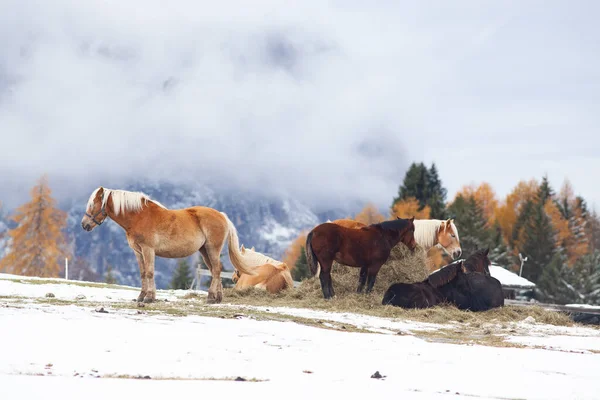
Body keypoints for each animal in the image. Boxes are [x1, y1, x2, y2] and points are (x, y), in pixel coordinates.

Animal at [79, 188, 258, 304]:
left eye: (93, 204)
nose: (84, 224)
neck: (138, 217)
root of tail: (221, 215)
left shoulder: (148, 250)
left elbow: (150, 273)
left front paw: (149, 298)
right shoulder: (138, 252)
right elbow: (143, 273)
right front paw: (141, 296)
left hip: (212, 249)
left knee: (216, 270)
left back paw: (210, 298)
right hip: (204, 251)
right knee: (215, 271)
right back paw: (217, 298)